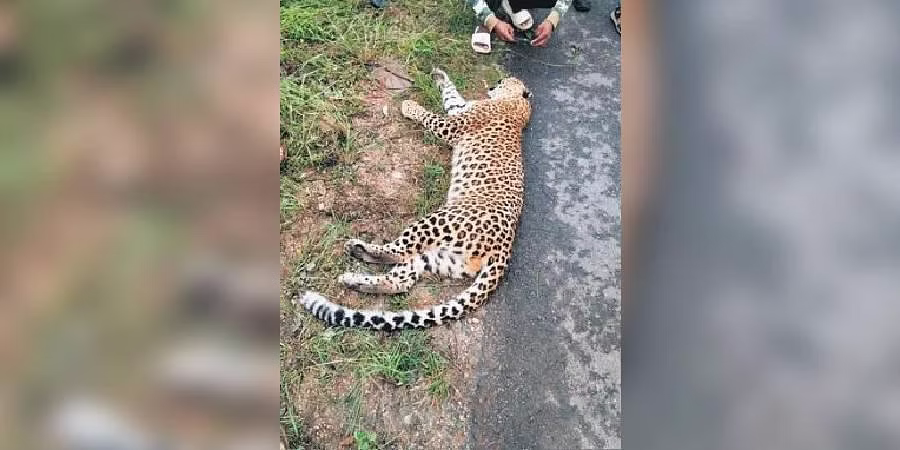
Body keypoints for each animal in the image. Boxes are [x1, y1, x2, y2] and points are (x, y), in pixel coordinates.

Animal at [299, 67, 532, 331]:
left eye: (503, 81)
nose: (494, 84)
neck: (519, 105)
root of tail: (504, 250)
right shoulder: (458, 109)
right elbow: (451, 97)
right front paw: (440, 76)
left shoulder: (452, 125)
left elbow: (430, 117)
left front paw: (410, 106)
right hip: (437, 257)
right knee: (400, 280)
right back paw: (356, 277)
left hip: (437, 222)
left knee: (399, 251)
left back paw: (358, 249)